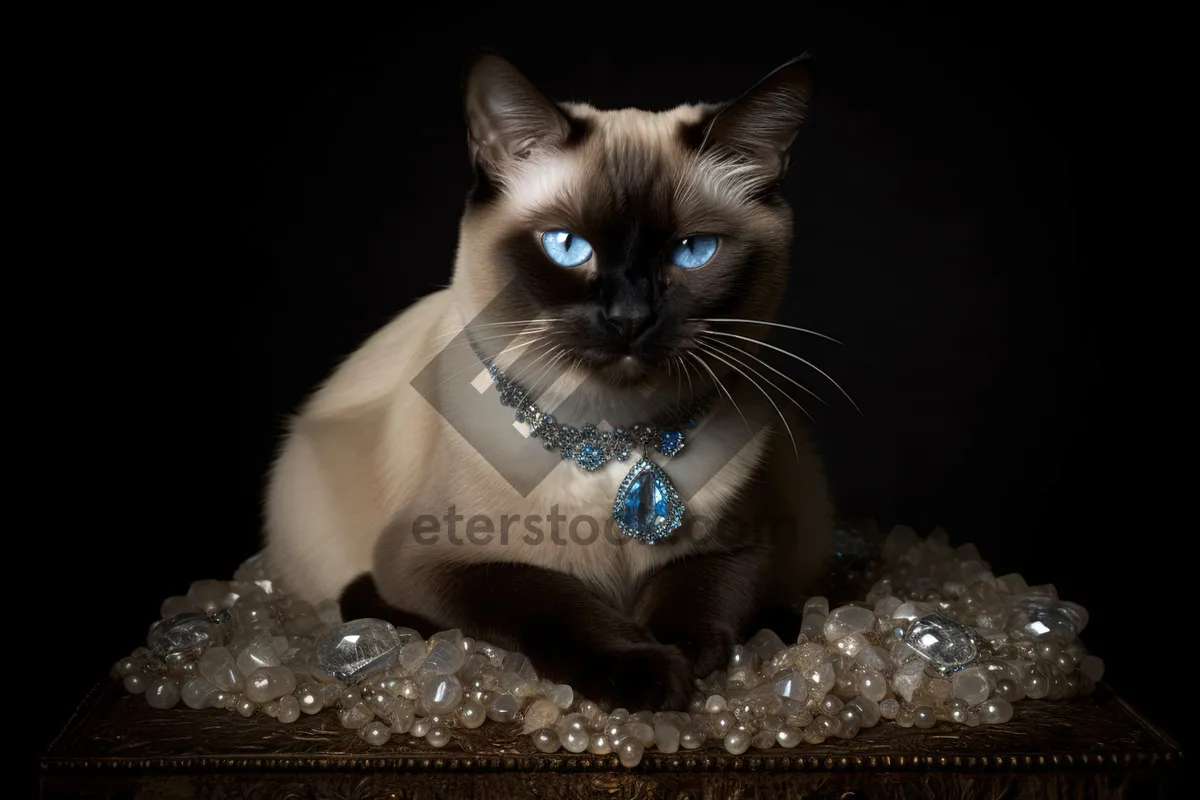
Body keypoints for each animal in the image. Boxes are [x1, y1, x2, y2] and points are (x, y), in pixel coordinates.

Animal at [265, 53, 835, 710]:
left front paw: (682, 652)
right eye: (567, 246)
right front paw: (645, 671)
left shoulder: (750, 544)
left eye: (693, 250)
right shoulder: (431, 564)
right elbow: (551, 601)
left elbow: (695, 589)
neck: (612, 439)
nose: (629, 317)